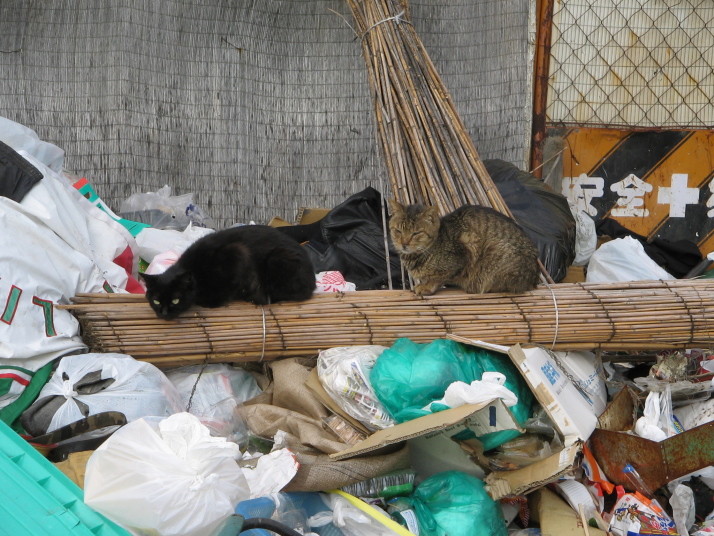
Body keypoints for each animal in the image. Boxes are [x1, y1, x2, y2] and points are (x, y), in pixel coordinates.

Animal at [140, 225, 316, 320]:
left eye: (176, 300)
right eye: (156, 301)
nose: (164, 313)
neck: (196, 272)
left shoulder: (236, 253)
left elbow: (227, 287)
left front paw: (211, 302)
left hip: (278, 259)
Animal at [388, 200, 540, 296]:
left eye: (416, 233)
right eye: (398, 231)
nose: (404, 243)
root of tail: (533, 278)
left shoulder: (466, 248)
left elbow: (439, 277)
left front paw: (427, 286)